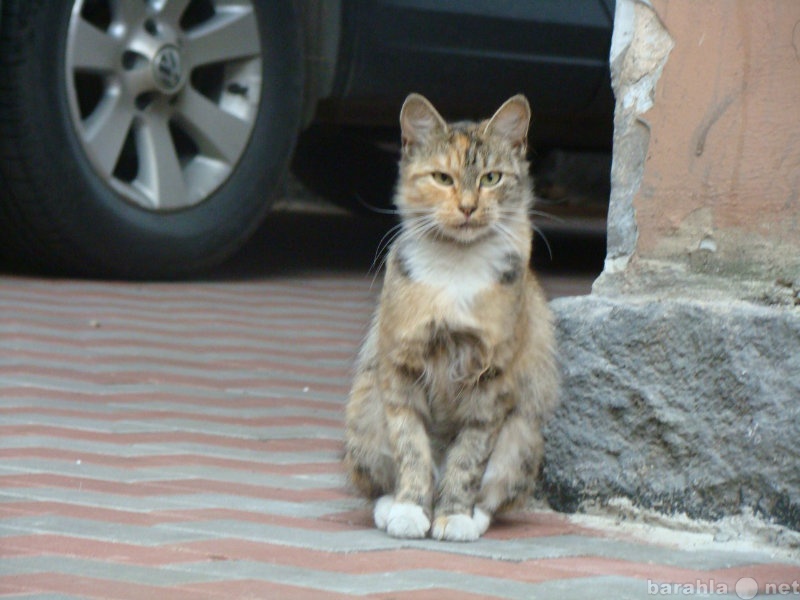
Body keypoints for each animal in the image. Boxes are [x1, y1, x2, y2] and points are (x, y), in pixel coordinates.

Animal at [340, 91, 560, 540]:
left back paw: (469, 516)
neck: (457, 267)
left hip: (521, 437)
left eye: (491, 178)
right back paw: (393, 507)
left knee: (493, 496)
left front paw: (453, 515)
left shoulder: (492, 381)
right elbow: (412, 452)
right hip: (365, 412)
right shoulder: (401, 371)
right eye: (442, 178)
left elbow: (467, 460)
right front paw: (410, 511)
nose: (468, 207)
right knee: (380, 482)